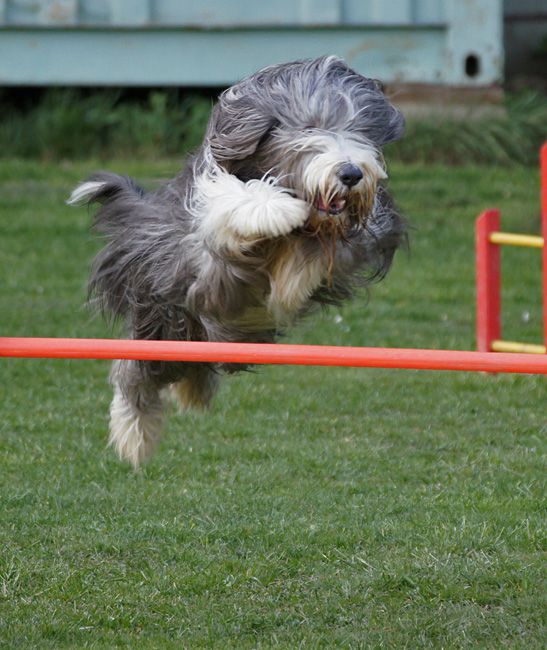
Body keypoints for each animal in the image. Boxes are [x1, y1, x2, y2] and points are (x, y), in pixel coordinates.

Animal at [69, 55, 406, 466]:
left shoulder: (366, 232)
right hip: (164, 318)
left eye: (360, 131)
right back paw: (134, 434)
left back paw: (191, 391)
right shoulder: (206, 223)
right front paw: (278, 209)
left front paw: (293, 280)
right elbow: (235, 203)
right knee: (135, 371)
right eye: (310, 126)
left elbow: (324, 252)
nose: (351, 173)